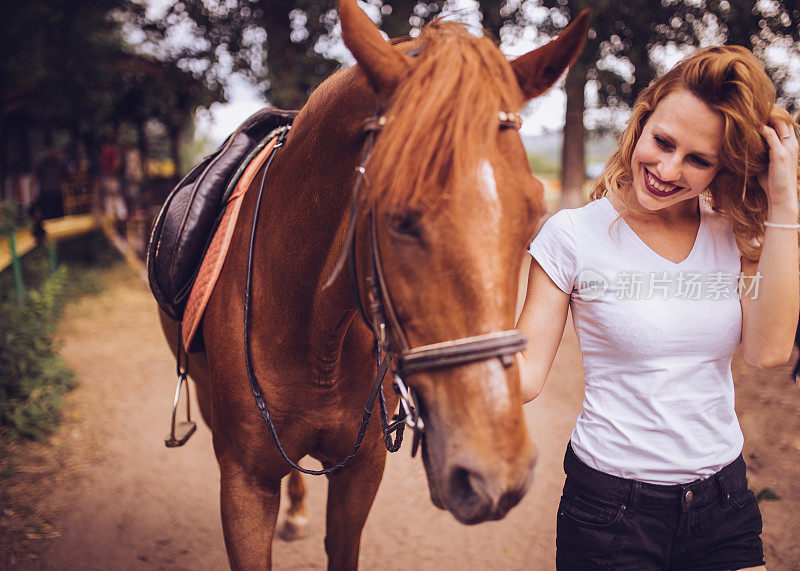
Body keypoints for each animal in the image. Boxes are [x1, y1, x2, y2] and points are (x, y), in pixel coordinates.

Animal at [159, 2, 592, 568]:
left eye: (535, 213)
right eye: (397, 218)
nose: (495, 475)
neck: (313, 337)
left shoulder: (361, 474)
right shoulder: (244, 484)